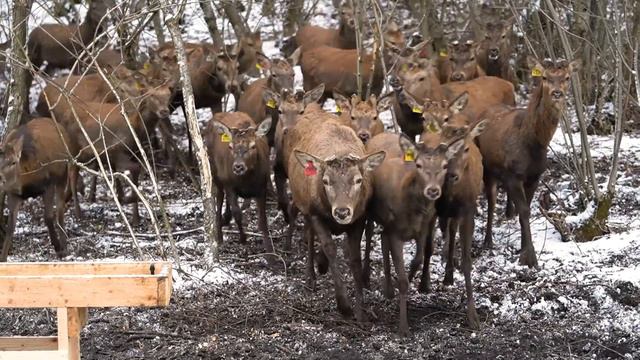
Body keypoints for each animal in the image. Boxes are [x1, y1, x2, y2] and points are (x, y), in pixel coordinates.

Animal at [0, 118, 77, 262]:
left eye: (13, 162)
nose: (1, 179)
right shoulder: (13, 194)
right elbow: (10, 227)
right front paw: (3, 258)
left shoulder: (48, 184)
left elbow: (48, 217)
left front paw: (58, 248)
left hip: (63, 173)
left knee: (60, 209)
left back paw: (64, 247)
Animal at [206, 112, 274, 262]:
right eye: (230, 146)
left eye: (253, 146)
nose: (238, 167)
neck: (247, 181)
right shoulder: (229, 184)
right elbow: (237, 213)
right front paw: (243, 239)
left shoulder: (262, 186)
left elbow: (263, 220)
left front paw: (271, 253)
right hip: (215, 173)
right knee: (218, 199)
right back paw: (219, 236)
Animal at [288, 116, 382, 322]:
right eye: (326, 181)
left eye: (358, 180)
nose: (342, 212)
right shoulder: (315, 213)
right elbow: (330, 248)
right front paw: (344, 306)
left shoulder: (360, 217)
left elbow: (354, 257)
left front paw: (361, 312)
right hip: (304, 205)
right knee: (310, 235)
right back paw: (311, 276)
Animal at [478, 57, 584, 268]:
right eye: (544, 77)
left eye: (567, 77)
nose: (557, 93)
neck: (533, 144)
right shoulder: (513, 174)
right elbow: (525, 211)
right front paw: (530, 258)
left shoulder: (534, 176)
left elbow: (524, 211)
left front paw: (523, 249)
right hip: (486, 167)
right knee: (491, 201)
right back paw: (487, 241)